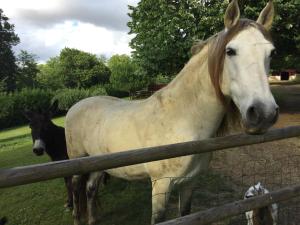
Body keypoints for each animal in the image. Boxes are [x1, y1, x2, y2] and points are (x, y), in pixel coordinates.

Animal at [65, 0, 278, 224]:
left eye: (272, 53)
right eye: (230, 51)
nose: (264, 113)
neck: (182, 119)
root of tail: (75, 106)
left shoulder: (189, 183)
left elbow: (185, 214)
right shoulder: (161, 185)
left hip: (97, 163)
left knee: (90, 189)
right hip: (77, 161)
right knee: (76, 188)